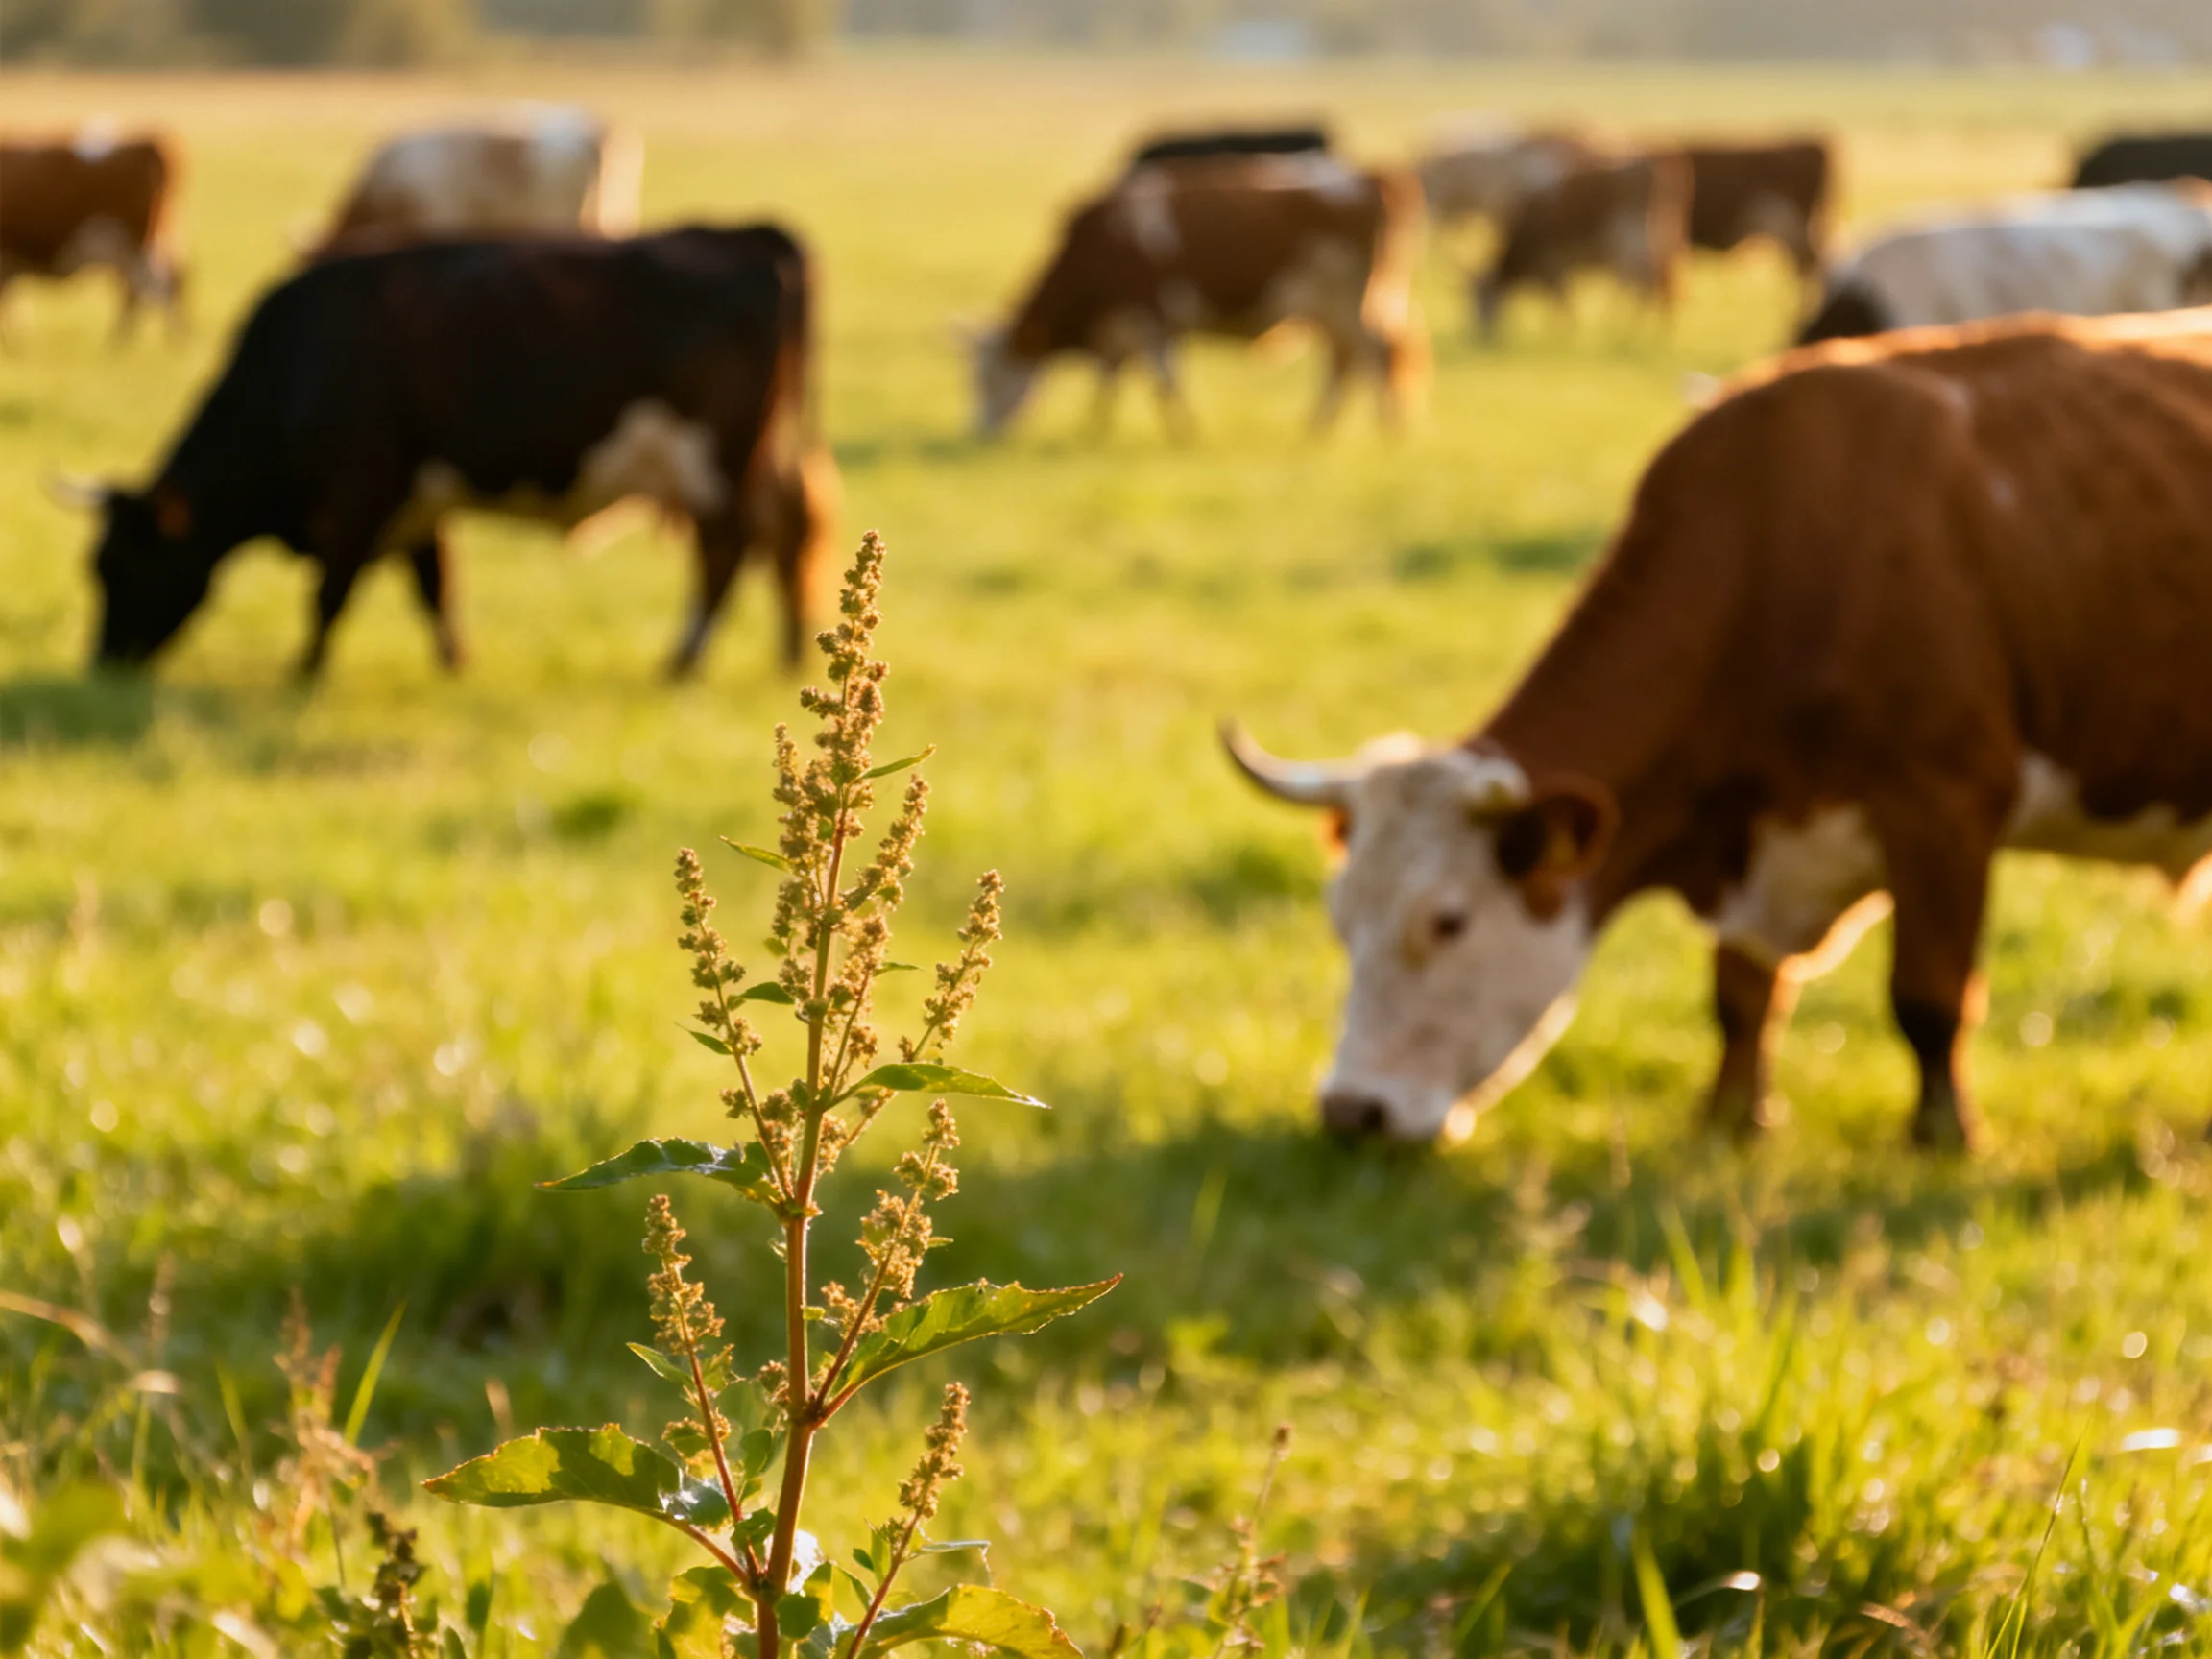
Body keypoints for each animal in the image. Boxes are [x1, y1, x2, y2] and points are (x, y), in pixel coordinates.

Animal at [64, 226, 834, 680]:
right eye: (93, 569)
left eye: (124, 566)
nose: (103, 666)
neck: (298, 366)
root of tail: (749, 235)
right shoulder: (415, 502)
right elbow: (435, 585)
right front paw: (454, 663)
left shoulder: (361, 494)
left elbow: (330, 595)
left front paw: (303, 673)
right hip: (762, 459)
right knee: (787, 534)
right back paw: (789, 653)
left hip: (715, 463)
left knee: (726, 550)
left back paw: (682, 662)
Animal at [967, 154, 1424, 437]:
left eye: (993, 377)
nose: (980, 432)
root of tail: (1374, 177)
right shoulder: (1130, 331)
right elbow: (1111, 383)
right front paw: (1095, 429)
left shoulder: (1147, 319)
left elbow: (1163, 383)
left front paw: (1183, 434)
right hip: (1339, 307)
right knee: (1349, 361)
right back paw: (1319, 430)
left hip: (1349, 303)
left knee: (1376, 355)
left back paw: (1386, 430)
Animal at [1225, 306, 2212, 1150]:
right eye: (1340, 918)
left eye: (1448, 921)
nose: (1351, 1110)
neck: (1789, 547)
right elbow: (1742, 994)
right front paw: (1733, 1120)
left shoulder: (1945, 810)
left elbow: (1927, 998)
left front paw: (1943, 1137)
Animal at [1476, 152, 1689, 339]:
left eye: (1482, 299)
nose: (1479, 337)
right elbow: (1562, 301)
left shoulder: (1553, 265)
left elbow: (1562, 302)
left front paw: (1564, 333)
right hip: (1654, 239)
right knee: (1658, 280)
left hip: (1631, 240)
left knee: (1644, 280)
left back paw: (1624, 324)